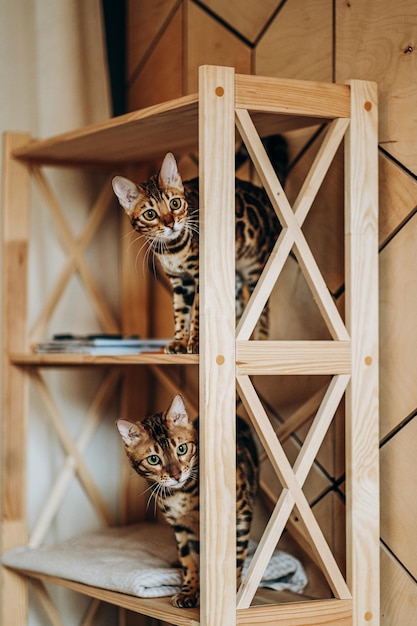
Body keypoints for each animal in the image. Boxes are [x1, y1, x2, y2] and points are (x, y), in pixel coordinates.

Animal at [112, 146, 284, 352]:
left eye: (175, 203)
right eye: (150, 214)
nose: (171, 224)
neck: (172, 251)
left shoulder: (201, 276)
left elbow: (197, 312)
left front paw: (195, 342)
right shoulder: (179, 281)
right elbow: (180, 312)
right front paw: (179, 342)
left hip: (256, 270)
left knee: (263, 311)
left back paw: (261, 340)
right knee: (238, 308)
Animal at [114, 394, 256, 604]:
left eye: (181, 449)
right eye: (153, 459)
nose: (176, 475)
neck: (181, 494)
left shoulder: (241, 513)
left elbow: (236, 554)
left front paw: (231, 591)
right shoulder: (180, 526)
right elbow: (188, 558)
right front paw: (189, 590)